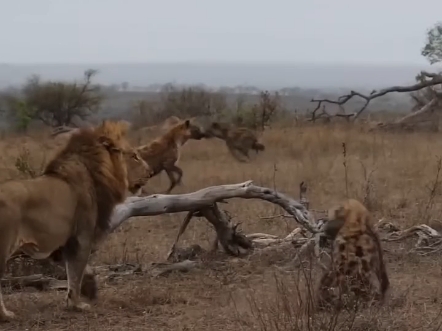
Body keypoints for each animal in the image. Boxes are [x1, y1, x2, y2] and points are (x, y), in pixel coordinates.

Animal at [0, 120, 152, 322]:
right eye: (134, 156)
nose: (151, 172)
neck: (96, 171)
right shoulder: (82, 236)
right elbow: (76, 272)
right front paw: (77, 304)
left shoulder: (65, 243)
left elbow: (77, 271)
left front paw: (89, 289)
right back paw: (5, 315)